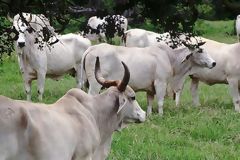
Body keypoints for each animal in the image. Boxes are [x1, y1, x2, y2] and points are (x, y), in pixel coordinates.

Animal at [81, 42, 216, 115]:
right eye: (200, 51)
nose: (214, 63)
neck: (170, 58)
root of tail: (92, 48)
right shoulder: (161, 83)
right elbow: (160, 102)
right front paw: (161, 115)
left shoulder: (150, 88)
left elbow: (150, 102)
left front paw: (150, 115)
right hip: (95, 84)